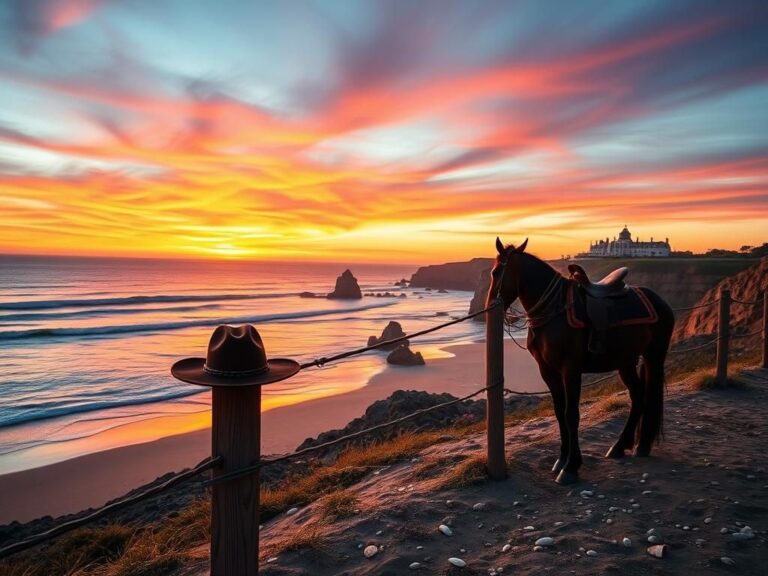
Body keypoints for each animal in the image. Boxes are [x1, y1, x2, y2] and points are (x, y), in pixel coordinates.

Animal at [489, 237, 675, 485]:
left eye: (496, 272)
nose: (490, 304)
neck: (554, 310)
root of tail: (659, 301)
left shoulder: (571, 370)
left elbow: (571, 414)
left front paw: (571, 467)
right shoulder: (548, 371)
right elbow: (559, 413)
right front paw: (561, 460)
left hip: (654, 357)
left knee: (647, 394)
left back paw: (641, 445)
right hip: (626, 362)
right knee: (638, 397)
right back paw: (620, 446)